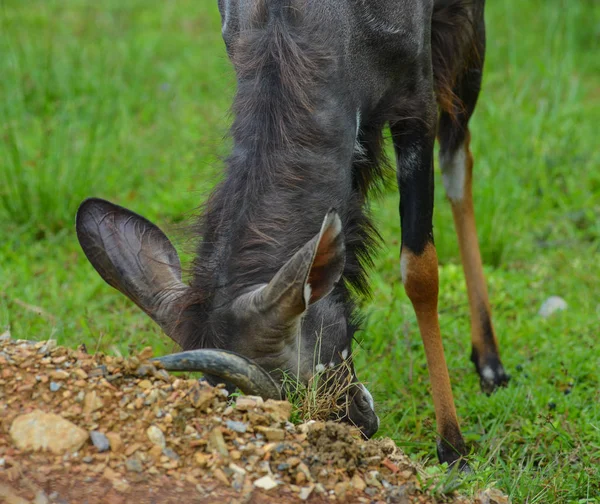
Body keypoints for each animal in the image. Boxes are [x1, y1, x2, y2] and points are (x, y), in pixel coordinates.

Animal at [74, 0, 506, 466]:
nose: (359, 421)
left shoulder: (417, 99)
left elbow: (420, 271)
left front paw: (453, 446)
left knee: (458, 158)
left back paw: (490, 363)